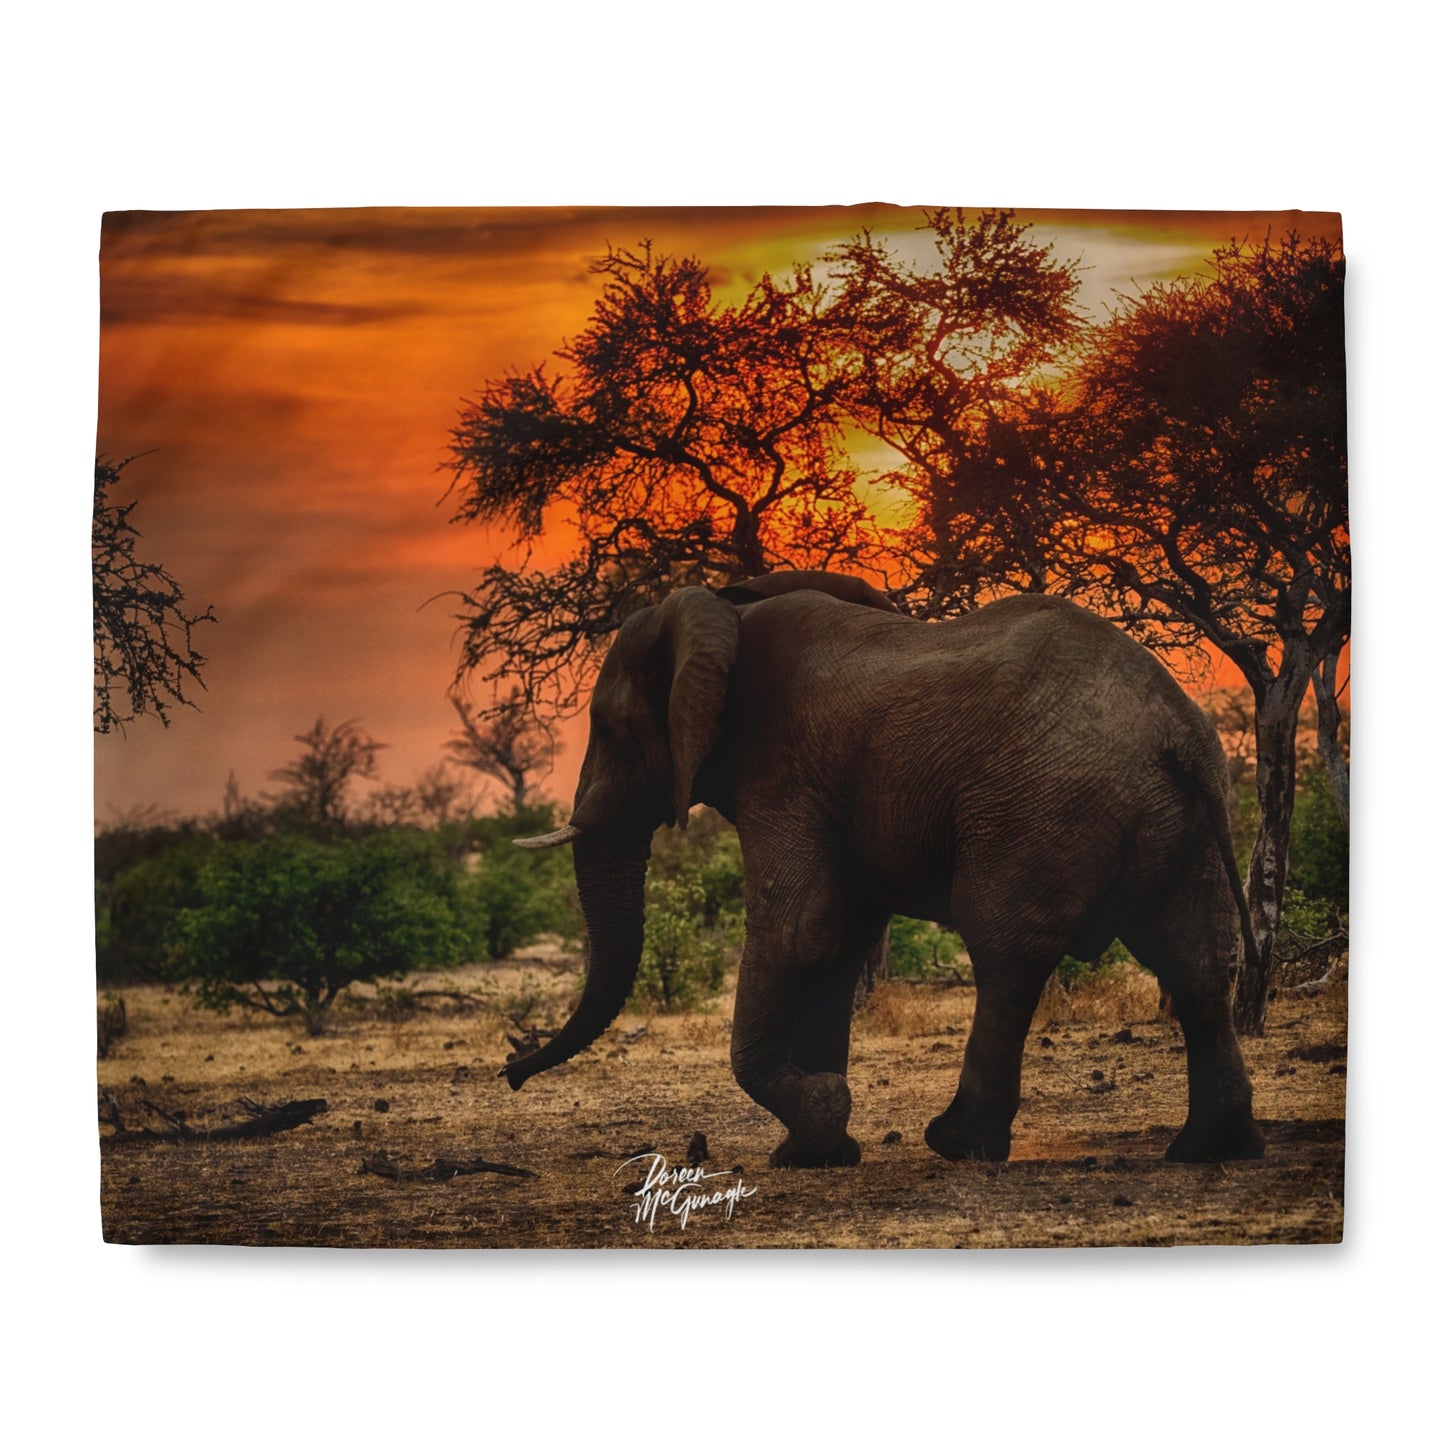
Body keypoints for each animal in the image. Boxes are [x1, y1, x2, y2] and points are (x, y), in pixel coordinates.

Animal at [508, 569, 1266, 1168]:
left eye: (610, 727)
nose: (512, 1072)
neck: (725, 609)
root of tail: (1179, 728)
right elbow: (836, 946)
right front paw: (811, 1154)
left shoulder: (784, 775)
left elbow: (796, 930)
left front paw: (821, 1112)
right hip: (1187, 820)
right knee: (1196, 960)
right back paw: (1208, 1147)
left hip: (1046, 804)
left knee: (1006, 950)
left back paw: (958, 1144)